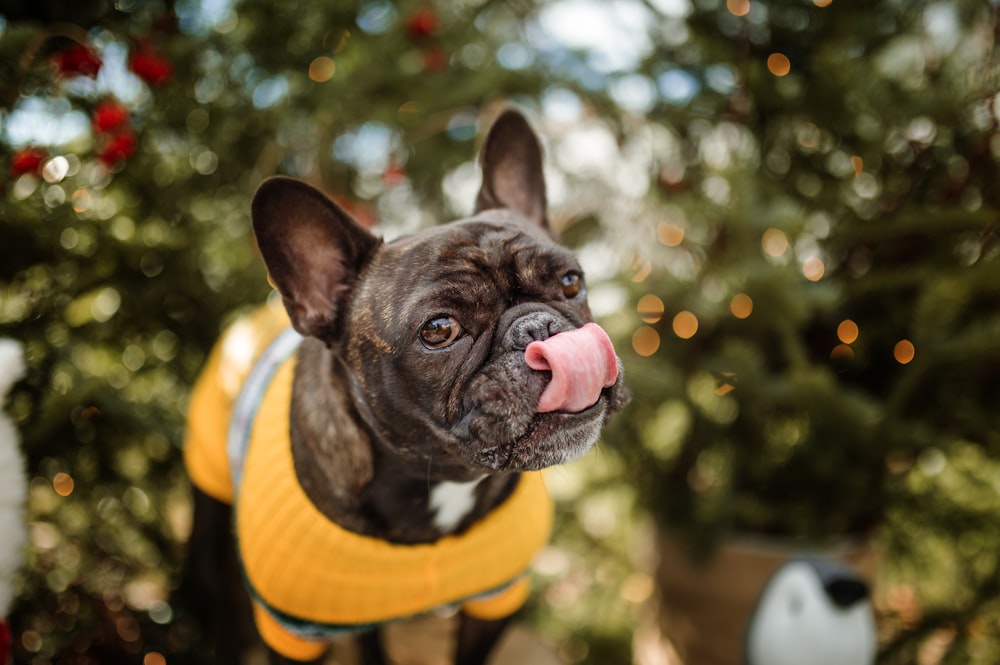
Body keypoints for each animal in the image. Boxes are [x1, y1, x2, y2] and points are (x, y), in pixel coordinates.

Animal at [184, 109, 628, 664]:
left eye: (571, 283)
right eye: (438, 330)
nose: (540, 328)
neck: (435, 482)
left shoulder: (495, 601)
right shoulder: (295, 634)